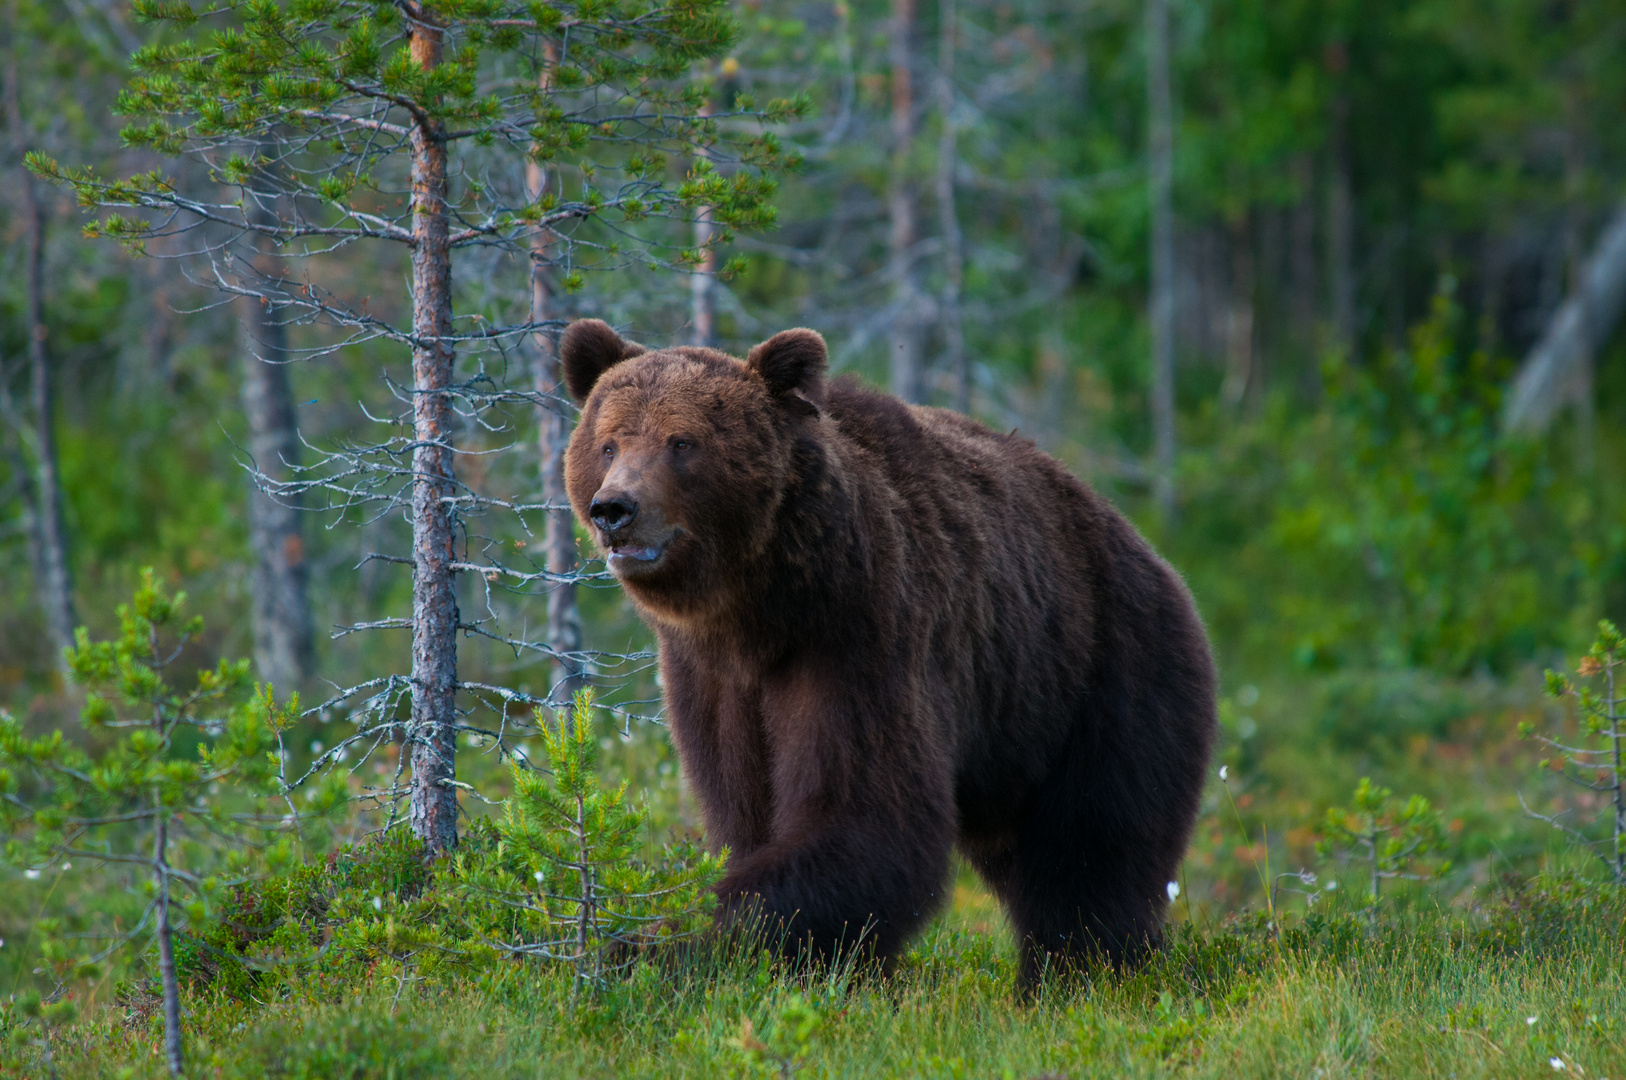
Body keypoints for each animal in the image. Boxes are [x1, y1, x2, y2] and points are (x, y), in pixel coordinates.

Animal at [559, 317, 1209, 982]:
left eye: (682, 442)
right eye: (608, 443)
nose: (614, 508)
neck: (764, 609)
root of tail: (1149, 550)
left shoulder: (860, 638)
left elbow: (866, 818)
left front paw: (648, 946)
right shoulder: (709, 680)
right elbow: (747, 813)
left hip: (1104, 672)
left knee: (1092, 849)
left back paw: (1088, 970)